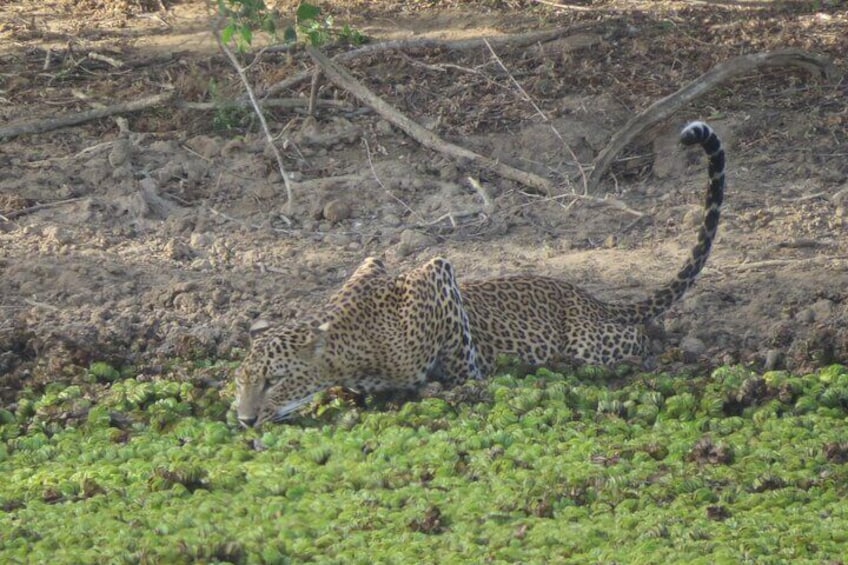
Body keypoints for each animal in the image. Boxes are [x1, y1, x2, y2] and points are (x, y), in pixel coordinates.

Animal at [235, 120, 725, 426]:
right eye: (241, 381)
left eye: (274, 380)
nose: (243, 418)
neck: (351, 349)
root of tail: (589, 297)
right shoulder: (372, 265)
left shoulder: (435, 277)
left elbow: (460, 354)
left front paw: (460, 383)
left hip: (593, 341)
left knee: (637, 337)